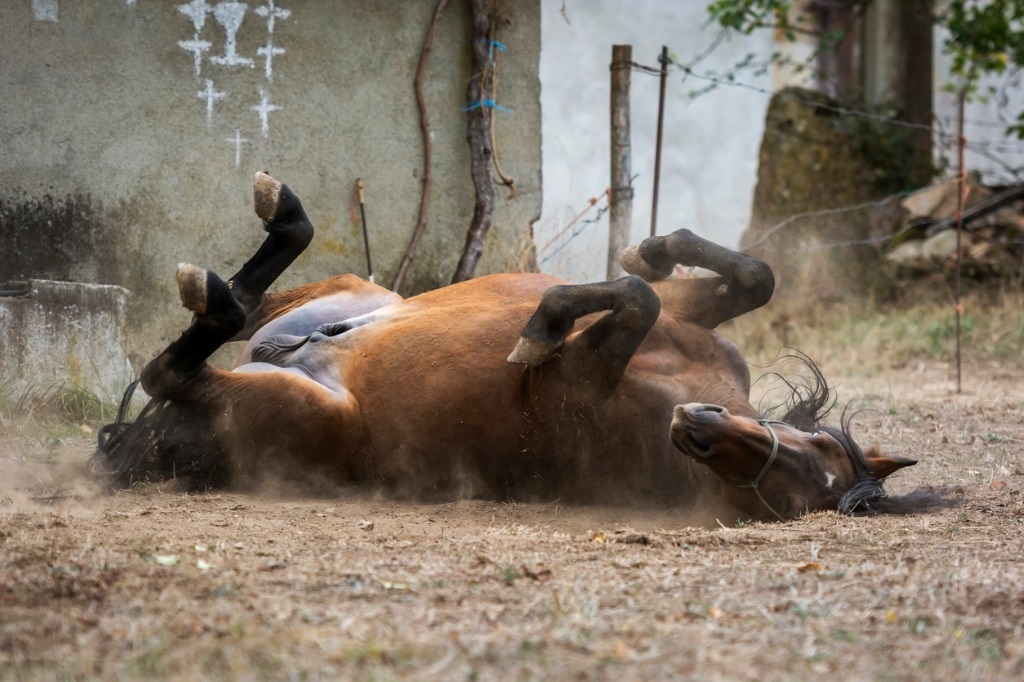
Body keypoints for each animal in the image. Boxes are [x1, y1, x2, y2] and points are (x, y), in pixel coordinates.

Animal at [95, 172, 926, 523]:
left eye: (780, 496)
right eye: (815, 443)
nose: (699, 427)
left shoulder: (581, 377)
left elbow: (630, 299)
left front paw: (539, 327)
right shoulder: (691, 320)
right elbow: (728, 278)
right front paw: (653, 248)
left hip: (283, 405)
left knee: (175, 366)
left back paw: (222, 285)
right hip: (351, 292)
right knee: (252, 304)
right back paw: (272, 223)